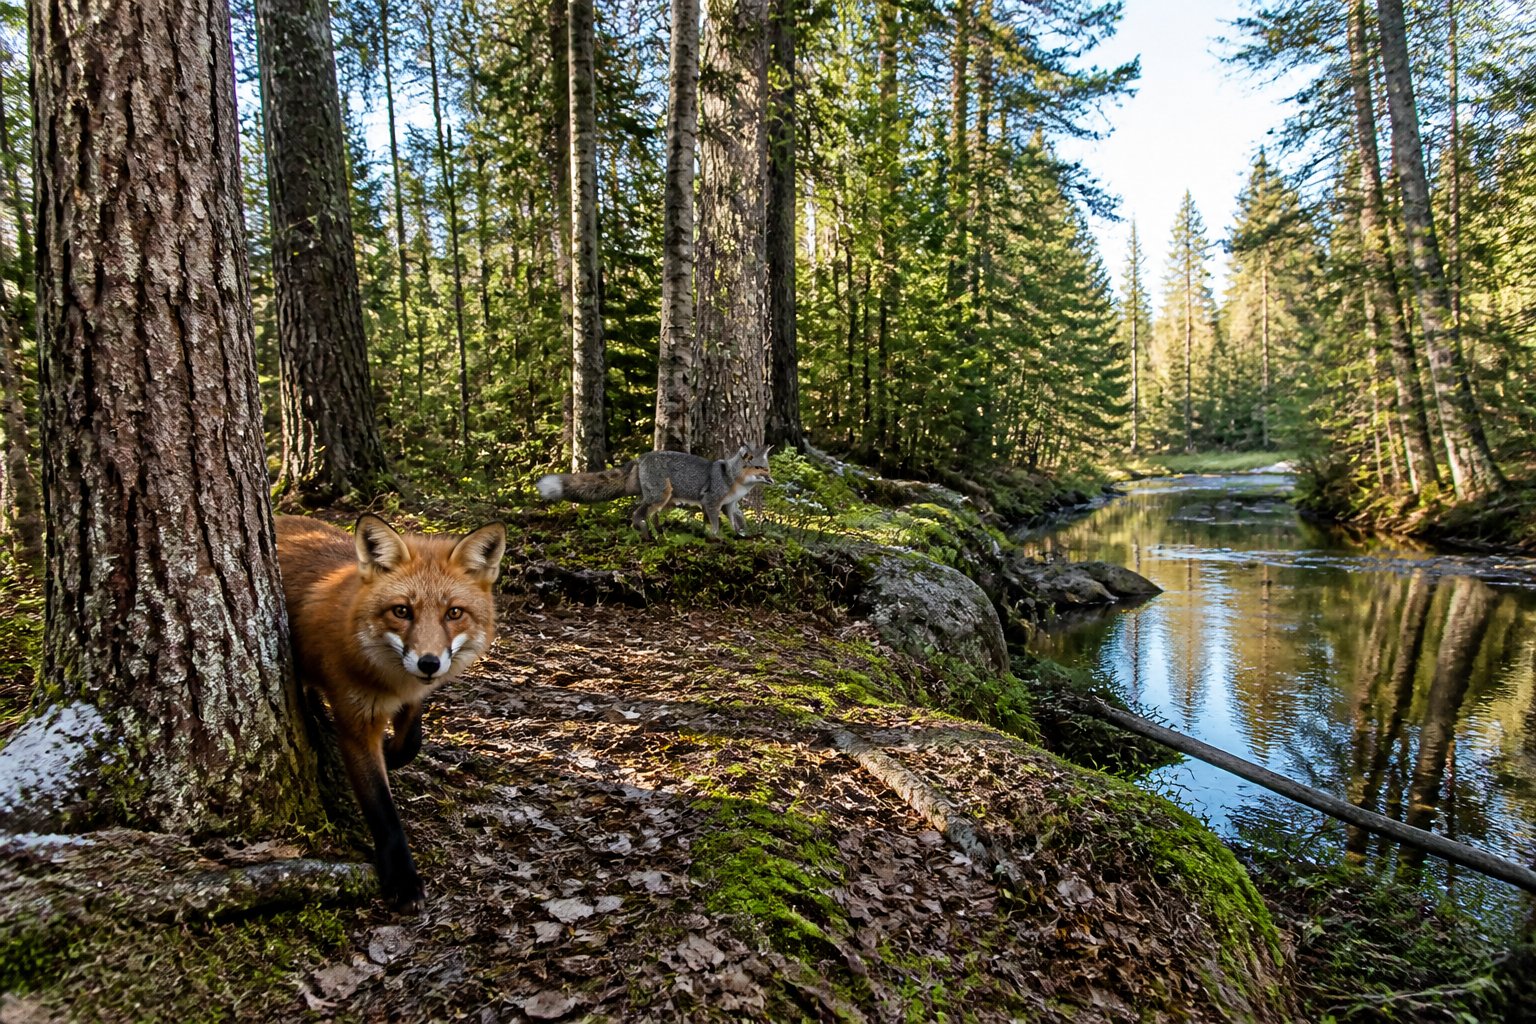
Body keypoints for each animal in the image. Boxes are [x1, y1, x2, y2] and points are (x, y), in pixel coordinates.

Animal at [276, 513, 506, 909]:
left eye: (454, 613)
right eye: (402, 611)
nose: (429, 663)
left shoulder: (412, 697)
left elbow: (411, 741)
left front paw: (394, 751)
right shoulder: (356, 725)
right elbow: (382, 809)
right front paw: (402, 878)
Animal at [536, 444, 774, 540]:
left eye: (767, 468)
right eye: (760, 468)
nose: (773, 479)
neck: (732, 478)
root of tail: (641, 456)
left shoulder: (729, 505)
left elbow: (737, 522)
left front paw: (739, 535)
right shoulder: (710, 501)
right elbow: (714, 525)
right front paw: (717, 538)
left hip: (661, 499)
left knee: (647, 515)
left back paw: (659, 533)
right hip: (660, 496)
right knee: (637, 514)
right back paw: (646, 534)